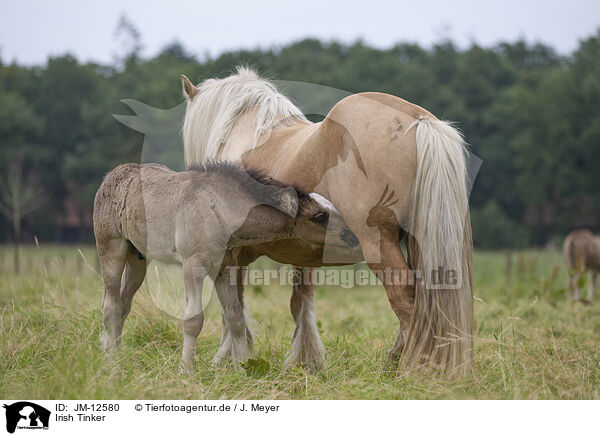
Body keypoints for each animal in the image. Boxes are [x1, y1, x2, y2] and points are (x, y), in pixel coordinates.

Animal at [92, 162, 356, 372]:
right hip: (111, 248)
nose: (353, 237)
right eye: (320, 216)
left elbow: (236, 318)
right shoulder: (193, 266)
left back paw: (114, 352)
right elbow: (193, 320)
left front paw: (243, 369)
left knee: (124, 304)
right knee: (110, 305)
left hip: (138, 257)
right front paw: (186, 371)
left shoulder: (225, 269)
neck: (220, 210)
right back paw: (111, 363)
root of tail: (111, 175)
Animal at [180, 66, 472, 372]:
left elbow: (233, 308)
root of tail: (420, 120)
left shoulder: (233, 255)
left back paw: (408, 367)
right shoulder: (305, 251)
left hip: (379, 245)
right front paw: (307, 361)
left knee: (405, 298)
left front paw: (231, 360)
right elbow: (300, 303)